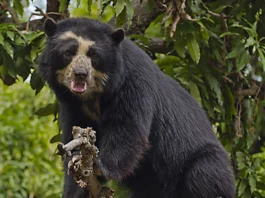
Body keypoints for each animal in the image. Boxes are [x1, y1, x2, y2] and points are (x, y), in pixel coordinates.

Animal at [38, 17, 234, 198]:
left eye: (94, 55)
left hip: (203, 163)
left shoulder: (132, 83)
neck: (93, 96)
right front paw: (76, 183)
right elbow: (75, 135)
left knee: (203, 173)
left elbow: (128, 129)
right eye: (68, 52)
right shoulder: (71, 106)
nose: (80, 74)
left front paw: (100, 166)